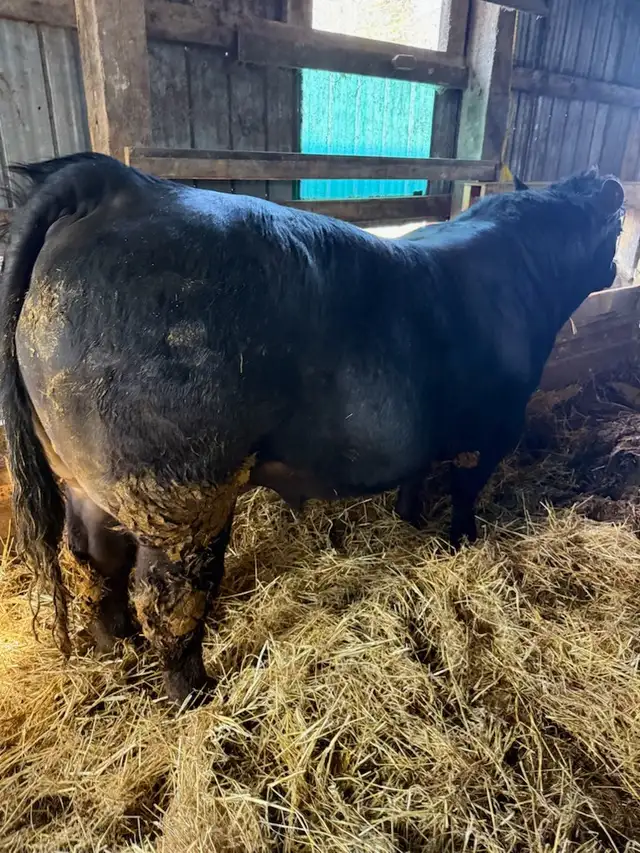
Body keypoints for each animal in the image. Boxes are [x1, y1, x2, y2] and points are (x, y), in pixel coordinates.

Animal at [0, 153, 623, 704]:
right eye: (616, 226)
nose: (615, 266)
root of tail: (118, 187)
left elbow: (416, 475)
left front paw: (413, 519)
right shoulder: (499, 423)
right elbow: (468, 488)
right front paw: (462, 539)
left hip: (81, 477)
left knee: (89, 560)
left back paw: (116, 642)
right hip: (181, 487)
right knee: (169, 595)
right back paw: (195, 693)